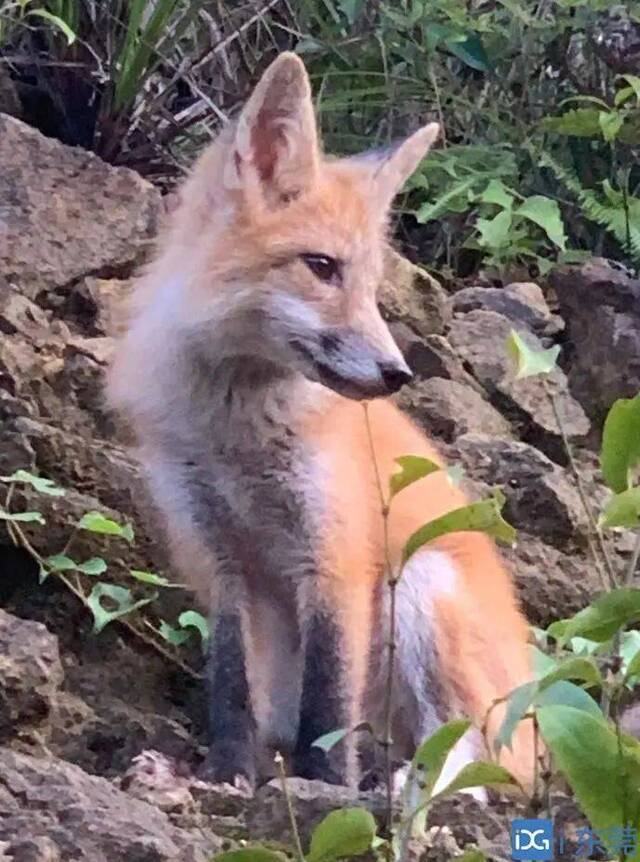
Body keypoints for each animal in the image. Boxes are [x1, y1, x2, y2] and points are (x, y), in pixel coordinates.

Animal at [110, 52, 536, 796]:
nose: (397, 373)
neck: (238, 440)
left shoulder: (336, 554)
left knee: (476, 760)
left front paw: (324, 789)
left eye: (370, 287)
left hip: (420, 582)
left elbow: (330, 699)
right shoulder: (217, 556)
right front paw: (227, 773)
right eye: (321, 267)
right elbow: (232, 685)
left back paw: (406, 787)